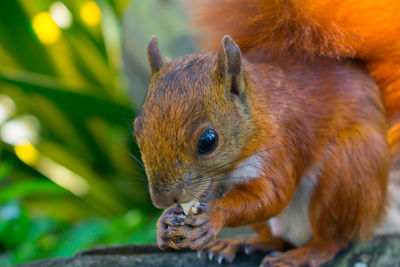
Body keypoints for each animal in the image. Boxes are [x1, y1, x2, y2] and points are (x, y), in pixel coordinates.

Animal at [134, 1, 400, 266]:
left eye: (208, 141)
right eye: (137, 129)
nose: (162, 200)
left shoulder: (280, 144)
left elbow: (271, 196)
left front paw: (214, 216)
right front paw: (164, 222)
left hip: (348, 170)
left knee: (335, 239)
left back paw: (305, 254)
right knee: (277, 239)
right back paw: (240, 244)